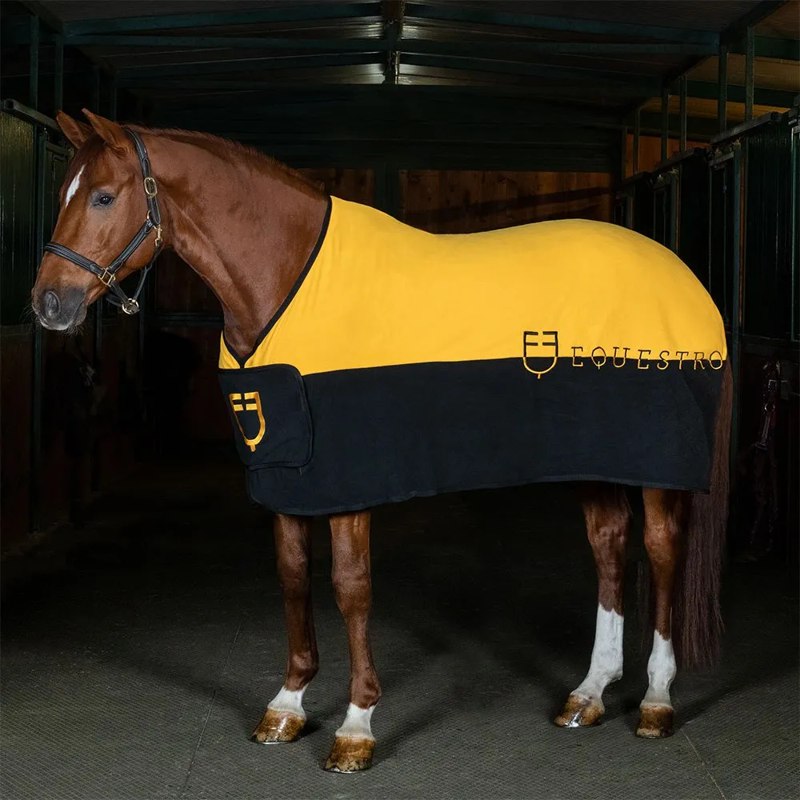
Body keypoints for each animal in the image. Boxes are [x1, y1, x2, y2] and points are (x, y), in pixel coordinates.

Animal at [31, 110, 732, 774]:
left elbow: (351, 587)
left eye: (103, 196)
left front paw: (356, 726)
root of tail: (691, 284)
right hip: (591, 456)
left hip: (658, 464)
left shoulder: (348, 484)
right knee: (609, 544)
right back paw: (589, 693)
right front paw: (287, 705)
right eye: (63, 192)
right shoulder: (290, 478)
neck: (285, 278)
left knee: (662, 550)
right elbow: (291, 576)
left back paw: (656, 699)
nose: (49, 304)